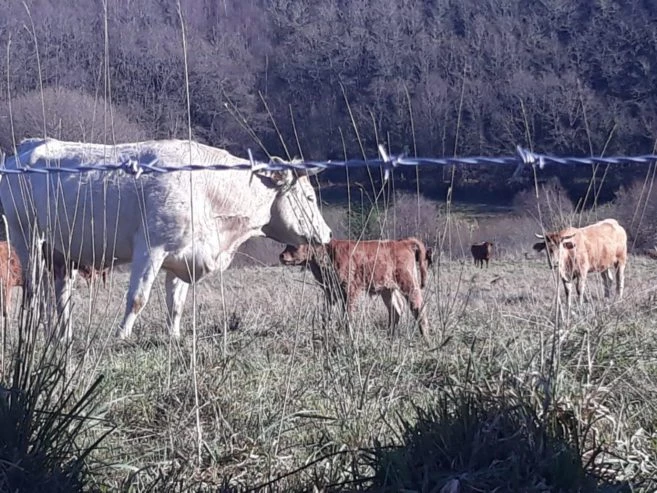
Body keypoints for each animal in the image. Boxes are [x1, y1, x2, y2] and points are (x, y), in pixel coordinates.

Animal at [0, 138, 332, 340]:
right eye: (309, 197)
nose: (328, 234)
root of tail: (27, 149)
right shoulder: (151, 248)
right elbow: (138, 297)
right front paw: (122, 336)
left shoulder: (184, 257)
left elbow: (176, 303)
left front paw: (174, 336)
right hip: (26, 239)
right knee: (33, 291)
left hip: (61, 253)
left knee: (60, 296)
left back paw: (63, 335)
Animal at [279, 237, 430, 340]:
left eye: (295, 244)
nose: (281, 255)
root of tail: (403, 242)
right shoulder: (330, 292)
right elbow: (326, 314)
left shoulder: (350, 289)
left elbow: (348, 315)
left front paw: (348, 336)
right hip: (387, 289)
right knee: (395, 310)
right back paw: (389, 337)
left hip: (409, 284)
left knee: (418, 308)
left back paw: (425, 339)